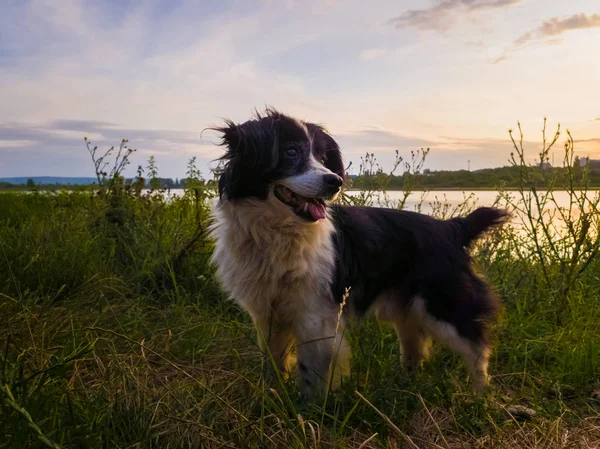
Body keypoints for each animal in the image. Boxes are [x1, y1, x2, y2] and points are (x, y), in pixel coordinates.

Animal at [209, 108, 508, 400]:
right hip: (408, 310)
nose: (335, 181)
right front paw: (270, 396)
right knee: (416, 349)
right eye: (291, 151)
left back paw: (480, 399)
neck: (277, 233)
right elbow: (273, 361)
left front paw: (309, 408)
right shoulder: (267, 313)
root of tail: (452, 227)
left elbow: (311, 371)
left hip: (443, 304)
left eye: (322, 157)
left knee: (477, 349)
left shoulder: (316, 315)